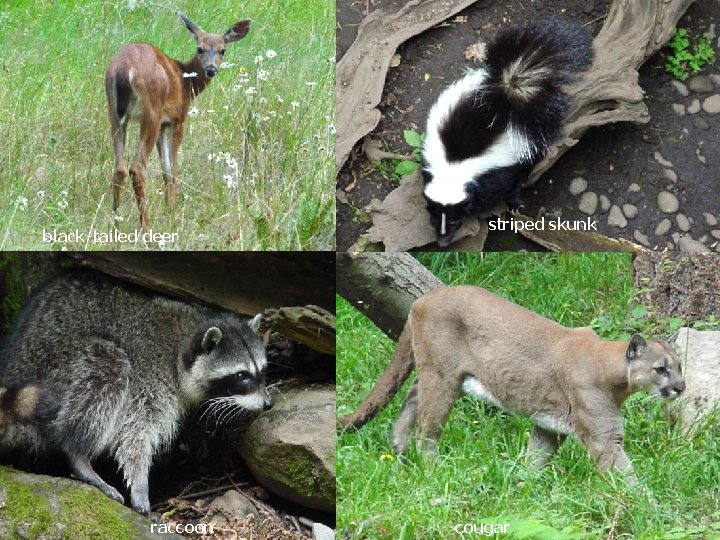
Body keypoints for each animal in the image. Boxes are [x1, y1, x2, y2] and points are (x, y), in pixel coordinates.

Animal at [0, 269, 272, 516]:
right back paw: (79, 455)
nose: (268, 404)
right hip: (56, 362)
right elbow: (136, 430)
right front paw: (140, 483)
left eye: (262, 371)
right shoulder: (150, 372)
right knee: (107, 367)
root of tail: (14, 368)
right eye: (241, 376)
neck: (183, 341)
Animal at [104, 14, 251, 230]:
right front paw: (172, 212)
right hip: (151, 112)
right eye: (200, 48)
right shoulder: (177, 119)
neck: (186, 82)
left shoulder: (164, 124)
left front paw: (169, 208)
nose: (211, 69)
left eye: (222, 50)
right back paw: (146, 226)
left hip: (114, 113)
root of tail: (124, 69)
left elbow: (165, 169)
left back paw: (116, 221)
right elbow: (173, 169)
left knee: (120, 168)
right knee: (136, 168)